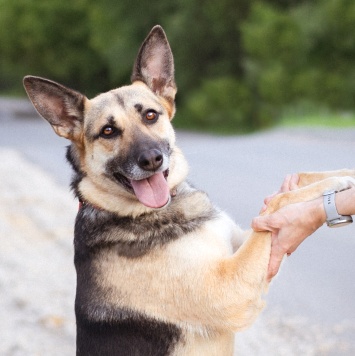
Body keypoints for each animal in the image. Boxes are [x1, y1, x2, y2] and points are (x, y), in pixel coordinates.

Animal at [23, 25, 355, 356]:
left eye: (150, 115)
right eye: (108, 131)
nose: (151, 160)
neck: (135, 212)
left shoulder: (241, 244)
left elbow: (291, 184)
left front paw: (344, 174)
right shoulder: (231, 288)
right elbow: (280, 200)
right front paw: (333, 185)